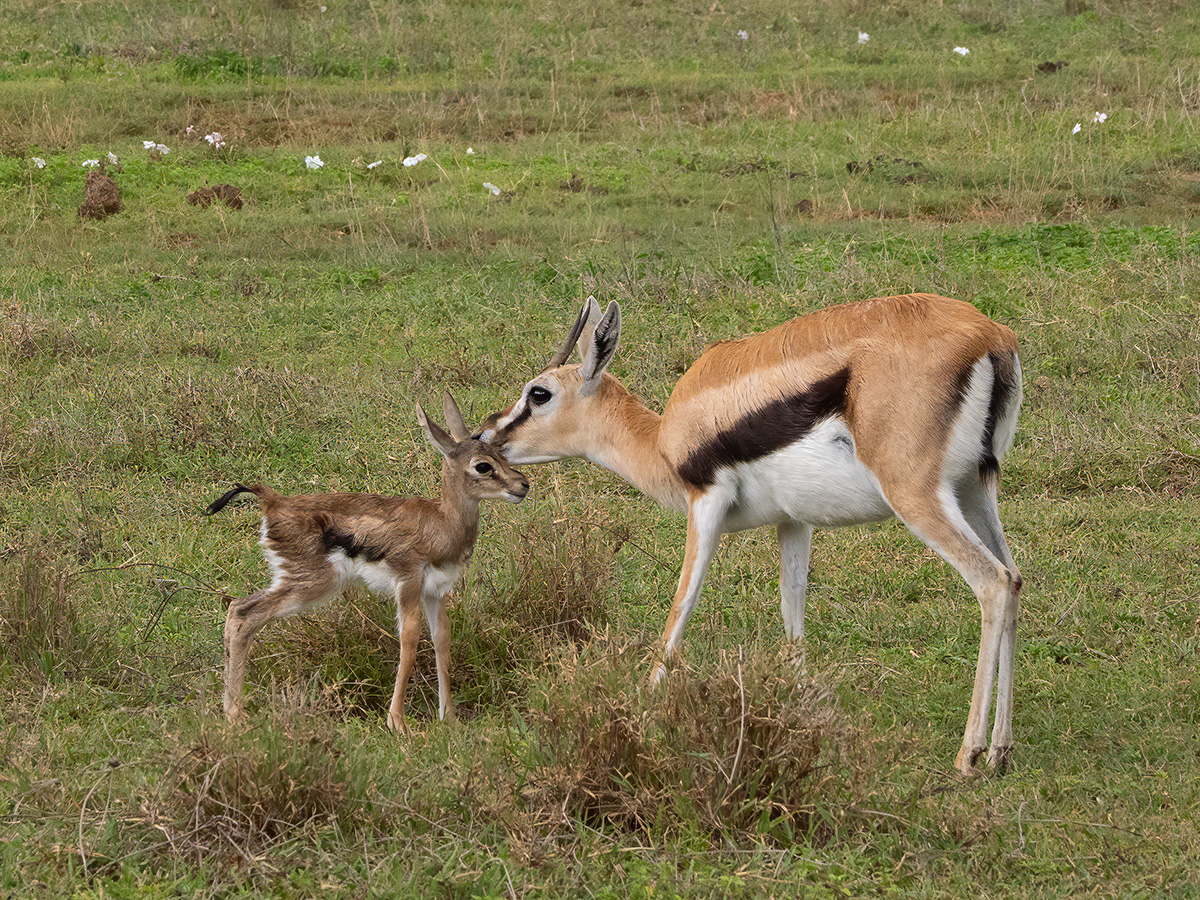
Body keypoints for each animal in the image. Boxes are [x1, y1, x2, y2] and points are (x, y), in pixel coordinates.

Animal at [205, 392, 530, 732]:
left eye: (500, 454)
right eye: (483, 466)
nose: (522, 485)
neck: (443, 524)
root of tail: (272, 501)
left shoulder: (435, 592)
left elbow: (442, 641)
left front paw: (449, 718)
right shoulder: (408, 583)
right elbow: (409, 642)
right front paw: (397, 723)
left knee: (237, 609)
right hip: (310, 583)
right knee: (243, 615)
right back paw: (235, 714)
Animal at [475, 294, 1023, 774]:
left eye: (539, 393)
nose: (485, 437)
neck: (663, 441)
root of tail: (989, 337)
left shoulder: (705, 505)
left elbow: (679, 610)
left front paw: (639, 709)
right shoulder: (792, 521)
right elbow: (792, 611)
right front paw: (803, 718)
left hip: (916, 495)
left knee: (992, 581)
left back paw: (969, 756)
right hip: (973, 490)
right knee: (1015, 579)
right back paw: (1000, 752)